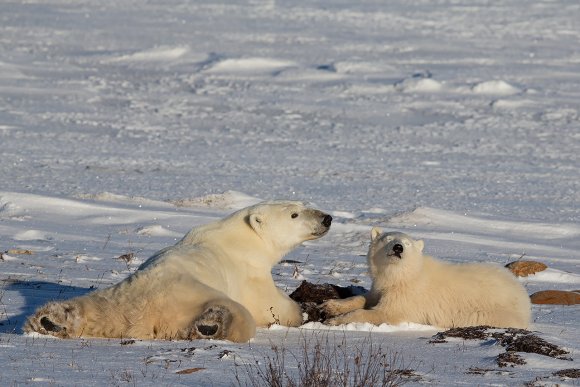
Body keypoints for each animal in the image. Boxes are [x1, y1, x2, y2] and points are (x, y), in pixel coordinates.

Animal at [24, 202, 334, 342]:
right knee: (239, 315)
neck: (243, 236)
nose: (327, 218)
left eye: (305, 205)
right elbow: (275, 306)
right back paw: (214, 323)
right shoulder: (249, 273)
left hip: (118, 296)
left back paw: (51, 320)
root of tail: (143, 317)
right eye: (294, 214)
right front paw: (304, 308)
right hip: (195, 291)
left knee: (92, 307)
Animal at [322, 230, 532, 330]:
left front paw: (334, 321)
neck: (405, 275)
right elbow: (367, 298)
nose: (398, 247)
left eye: (407, 244)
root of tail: (524, 297)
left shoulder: (407, 295)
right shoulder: (382, 286)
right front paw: (330, 306)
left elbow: (384, 313)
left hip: (491, 312)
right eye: (387, 239)